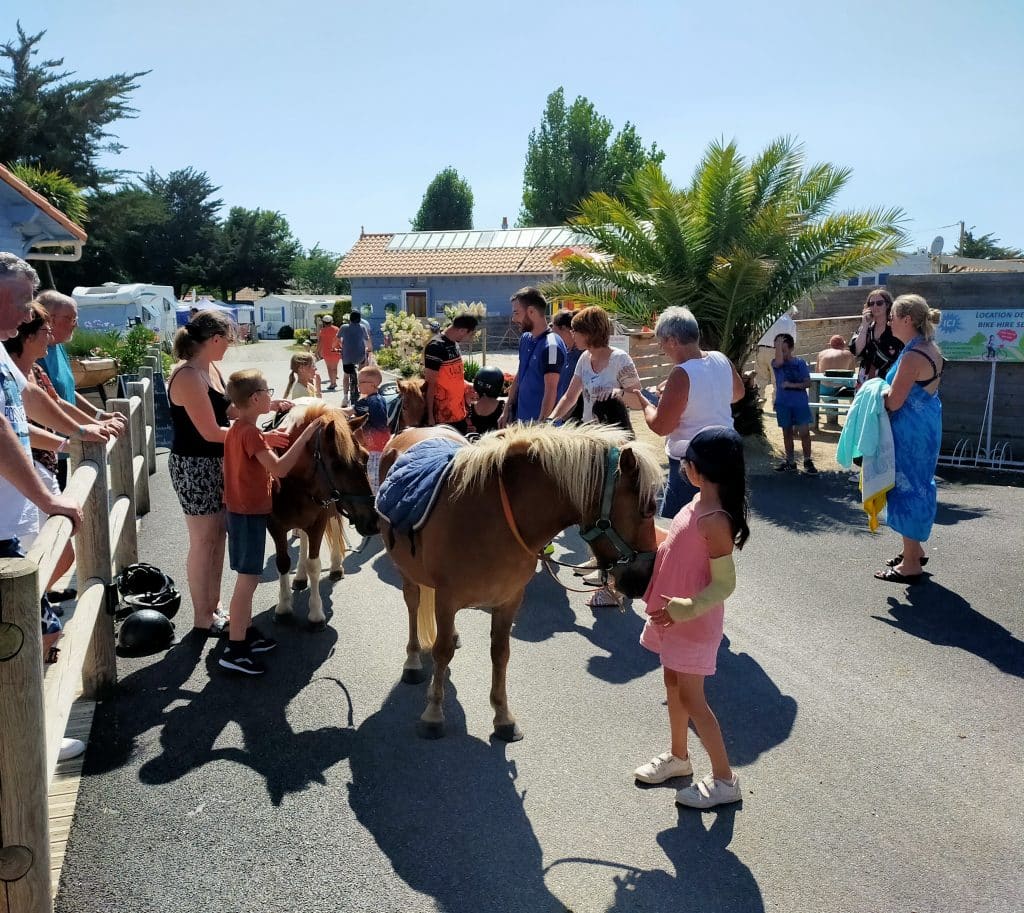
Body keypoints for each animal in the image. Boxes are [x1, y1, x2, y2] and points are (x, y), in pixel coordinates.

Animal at [268, 401, 380, 626]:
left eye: (365, 457)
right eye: (337, 464)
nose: (373, 521)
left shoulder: (318, 522)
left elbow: (314, 564)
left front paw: (315, 613)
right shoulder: (275, 526)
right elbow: (283, 562)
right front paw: (283, 607)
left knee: (335, 526)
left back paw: (336, 566)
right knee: (302, 538)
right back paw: (300, 576)